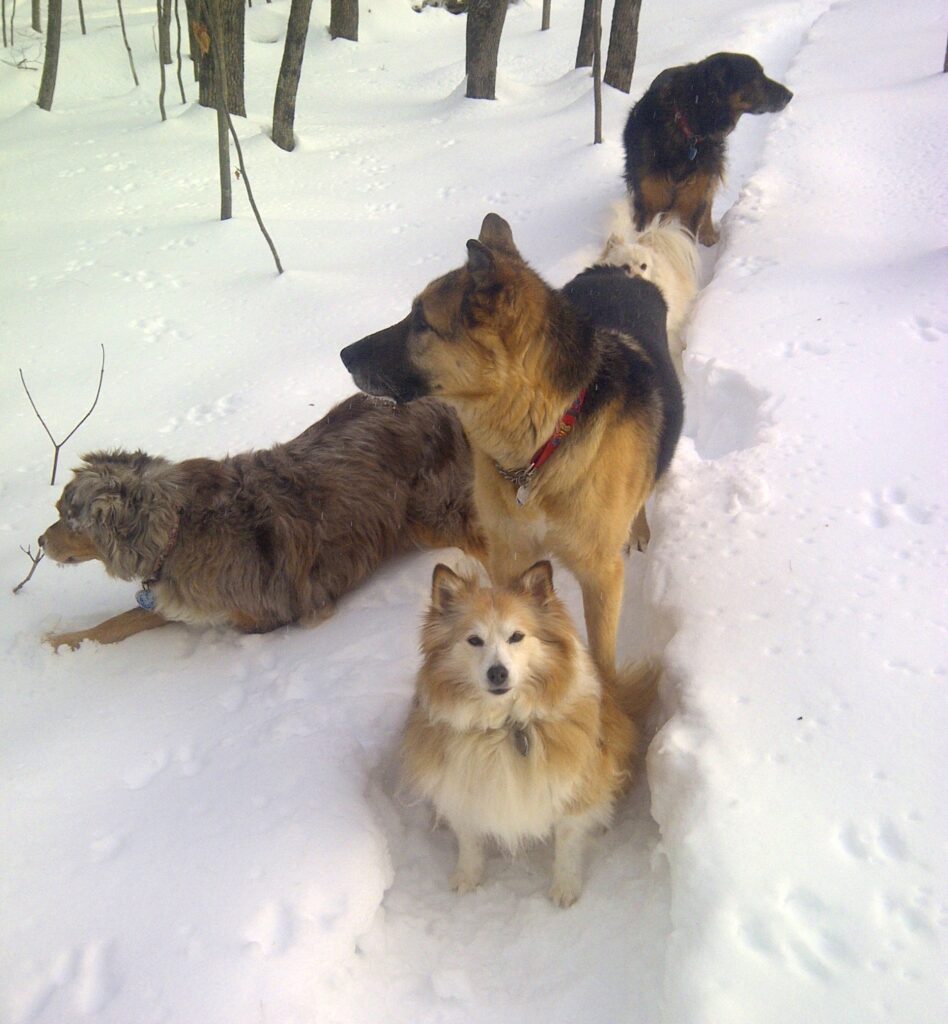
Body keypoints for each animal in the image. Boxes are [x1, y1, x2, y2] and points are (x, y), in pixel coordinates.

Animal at [38, 391, 485, 647]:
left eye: (66, 516)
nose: (41, 543)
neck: (177, 529)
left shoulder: (267, 614)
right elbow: (116, 623)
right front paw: (63, 640)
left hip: (430, 515)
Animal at [341, 215, 683, 679]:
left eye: (420, 321)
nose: (344, 354)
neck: (539, 448)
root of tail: (617, 271)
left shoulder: (600, 574)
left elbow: (601, 654)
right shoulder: (508, 555)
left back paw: (640, 529)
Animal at [403, 561, 659, 905]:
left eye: (517, 636)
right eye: (474, 640)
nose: (497, 673)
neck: (503, 725)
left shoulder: (573, 782)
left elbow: (567, 840)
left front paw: (565, 887)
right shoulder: (461, 787)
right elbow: (469, 838)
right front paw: (467, 876)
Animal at [622, 52, 794, 244]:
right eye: (756, 76)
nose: (790, 95)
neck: (687, 127)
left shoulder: (693, 199)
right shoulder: (649, 201)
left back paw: (708, 234)